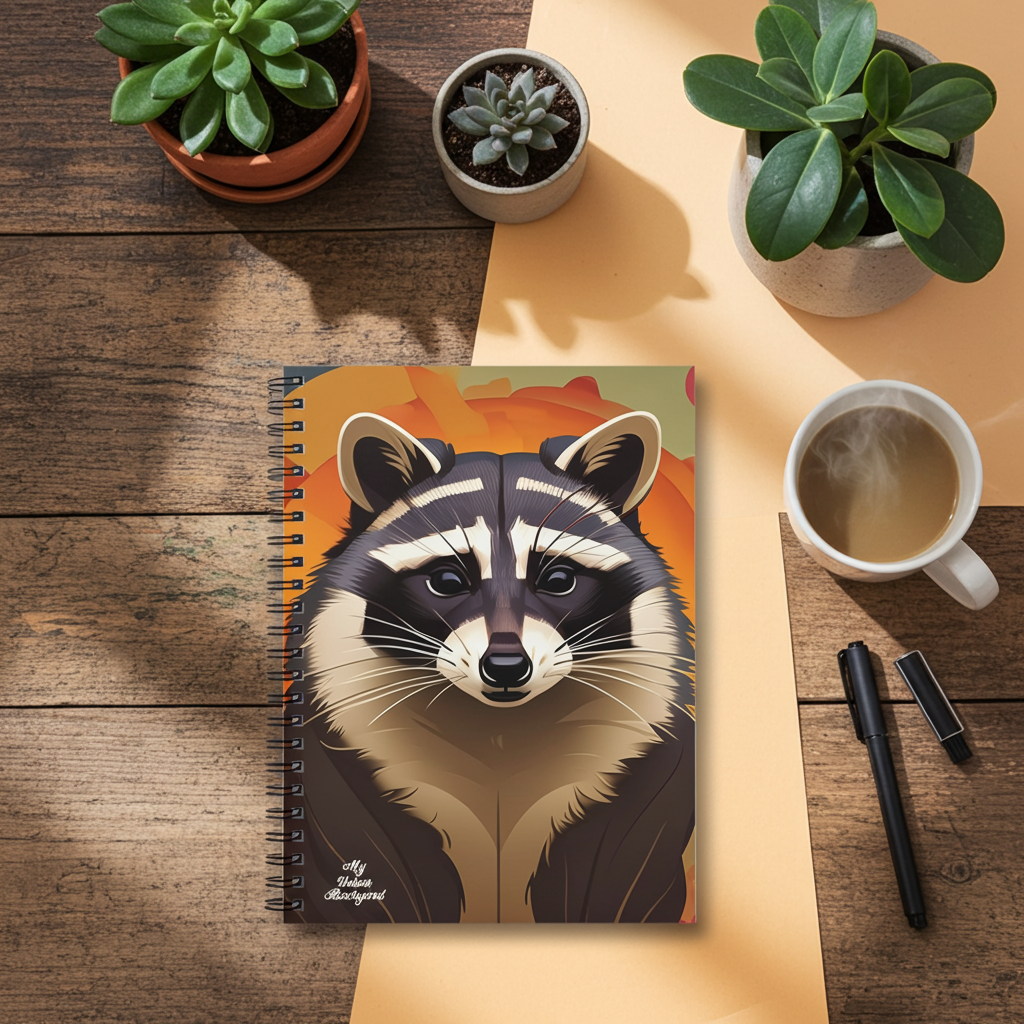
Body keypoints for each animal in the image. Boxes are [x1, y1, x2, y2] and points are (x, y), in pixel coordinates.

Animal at [290, 411, 695, 923]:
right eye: (446, 580)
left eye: (559, 579)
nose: (505, 665)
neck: (500, 734)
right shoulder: (341, 790)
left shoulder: (642, 801)